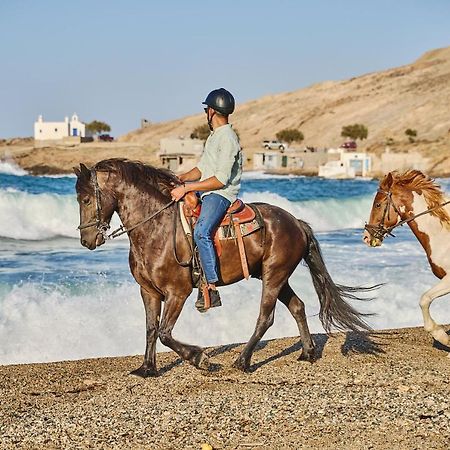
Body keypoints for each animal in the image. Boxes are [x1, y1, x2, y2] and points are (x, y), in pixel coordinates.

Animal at [75, 159, 372, 376]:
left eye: (86, 199)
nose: (86, 240)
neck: (156, 228)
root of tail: (296, 222)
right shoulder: (148, 292)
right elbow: (151, 329)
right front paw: (147, 368)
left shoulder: (177, 292)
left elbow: (164, 333)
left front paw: (200, 358)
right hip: (276, 275)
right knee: (297, 307)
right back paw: (307, 352)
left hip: (274, 276)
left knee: (265, 318)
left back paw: (243, 361)